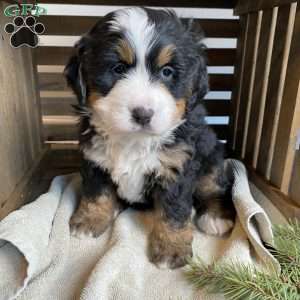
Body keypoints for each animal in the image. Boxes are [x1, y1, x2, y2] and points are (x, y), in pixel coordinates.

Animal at [64, 7, 236, 270]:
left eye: (167, 72)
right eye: (118, 69)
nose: (142, 114)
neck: (134, 140)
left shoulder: (177, 166)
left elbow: (174, 211)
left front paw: (171, 248)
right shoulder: (94, 158)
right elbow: (96, 192)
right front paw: (90, 220)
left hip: (211, 155)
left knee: (214, 186)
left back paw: (215, 217)